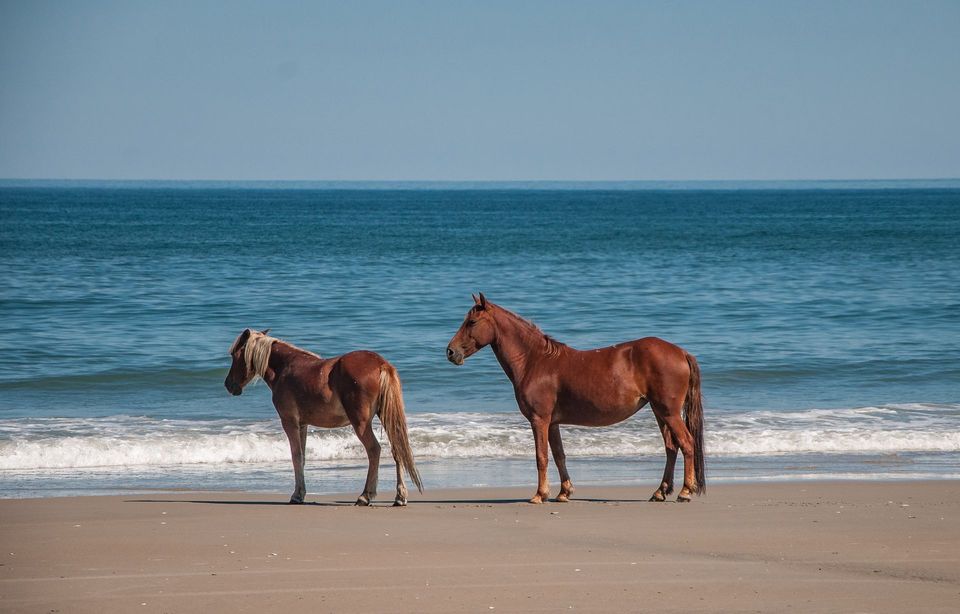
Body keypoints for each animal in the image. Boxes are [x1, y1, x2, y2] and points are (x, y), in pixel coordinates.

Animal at [224, 328, 422, 506]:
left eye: (234, 354)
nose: (228, 384)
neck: (285, 369)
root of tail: (382, 364)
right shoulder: (302, 425)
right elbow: (302, 457)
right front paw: (301, 493)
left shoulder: (289, 422)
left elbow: (296, 456)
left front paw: (297, 495)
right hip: (387, 418)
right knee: (397, 450)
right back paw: (400, 497)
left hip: (361, 423)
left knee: (374, 450)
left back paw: (365, 496)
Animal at [446, 294, 705, 504]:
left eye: (472, 322)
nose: (450, 352)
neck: (535, 361)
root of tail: (681, 352)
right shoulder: (552, 423)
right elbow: (559, 455)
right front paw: (564, 492)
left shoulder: (539, 420)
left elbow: (541, 457)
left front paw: (540, 495)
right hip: (660, 412)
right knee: (671, 447)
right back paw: (660, 492)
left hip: (669, 412)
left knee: (686, 443)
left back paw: (685, 492)